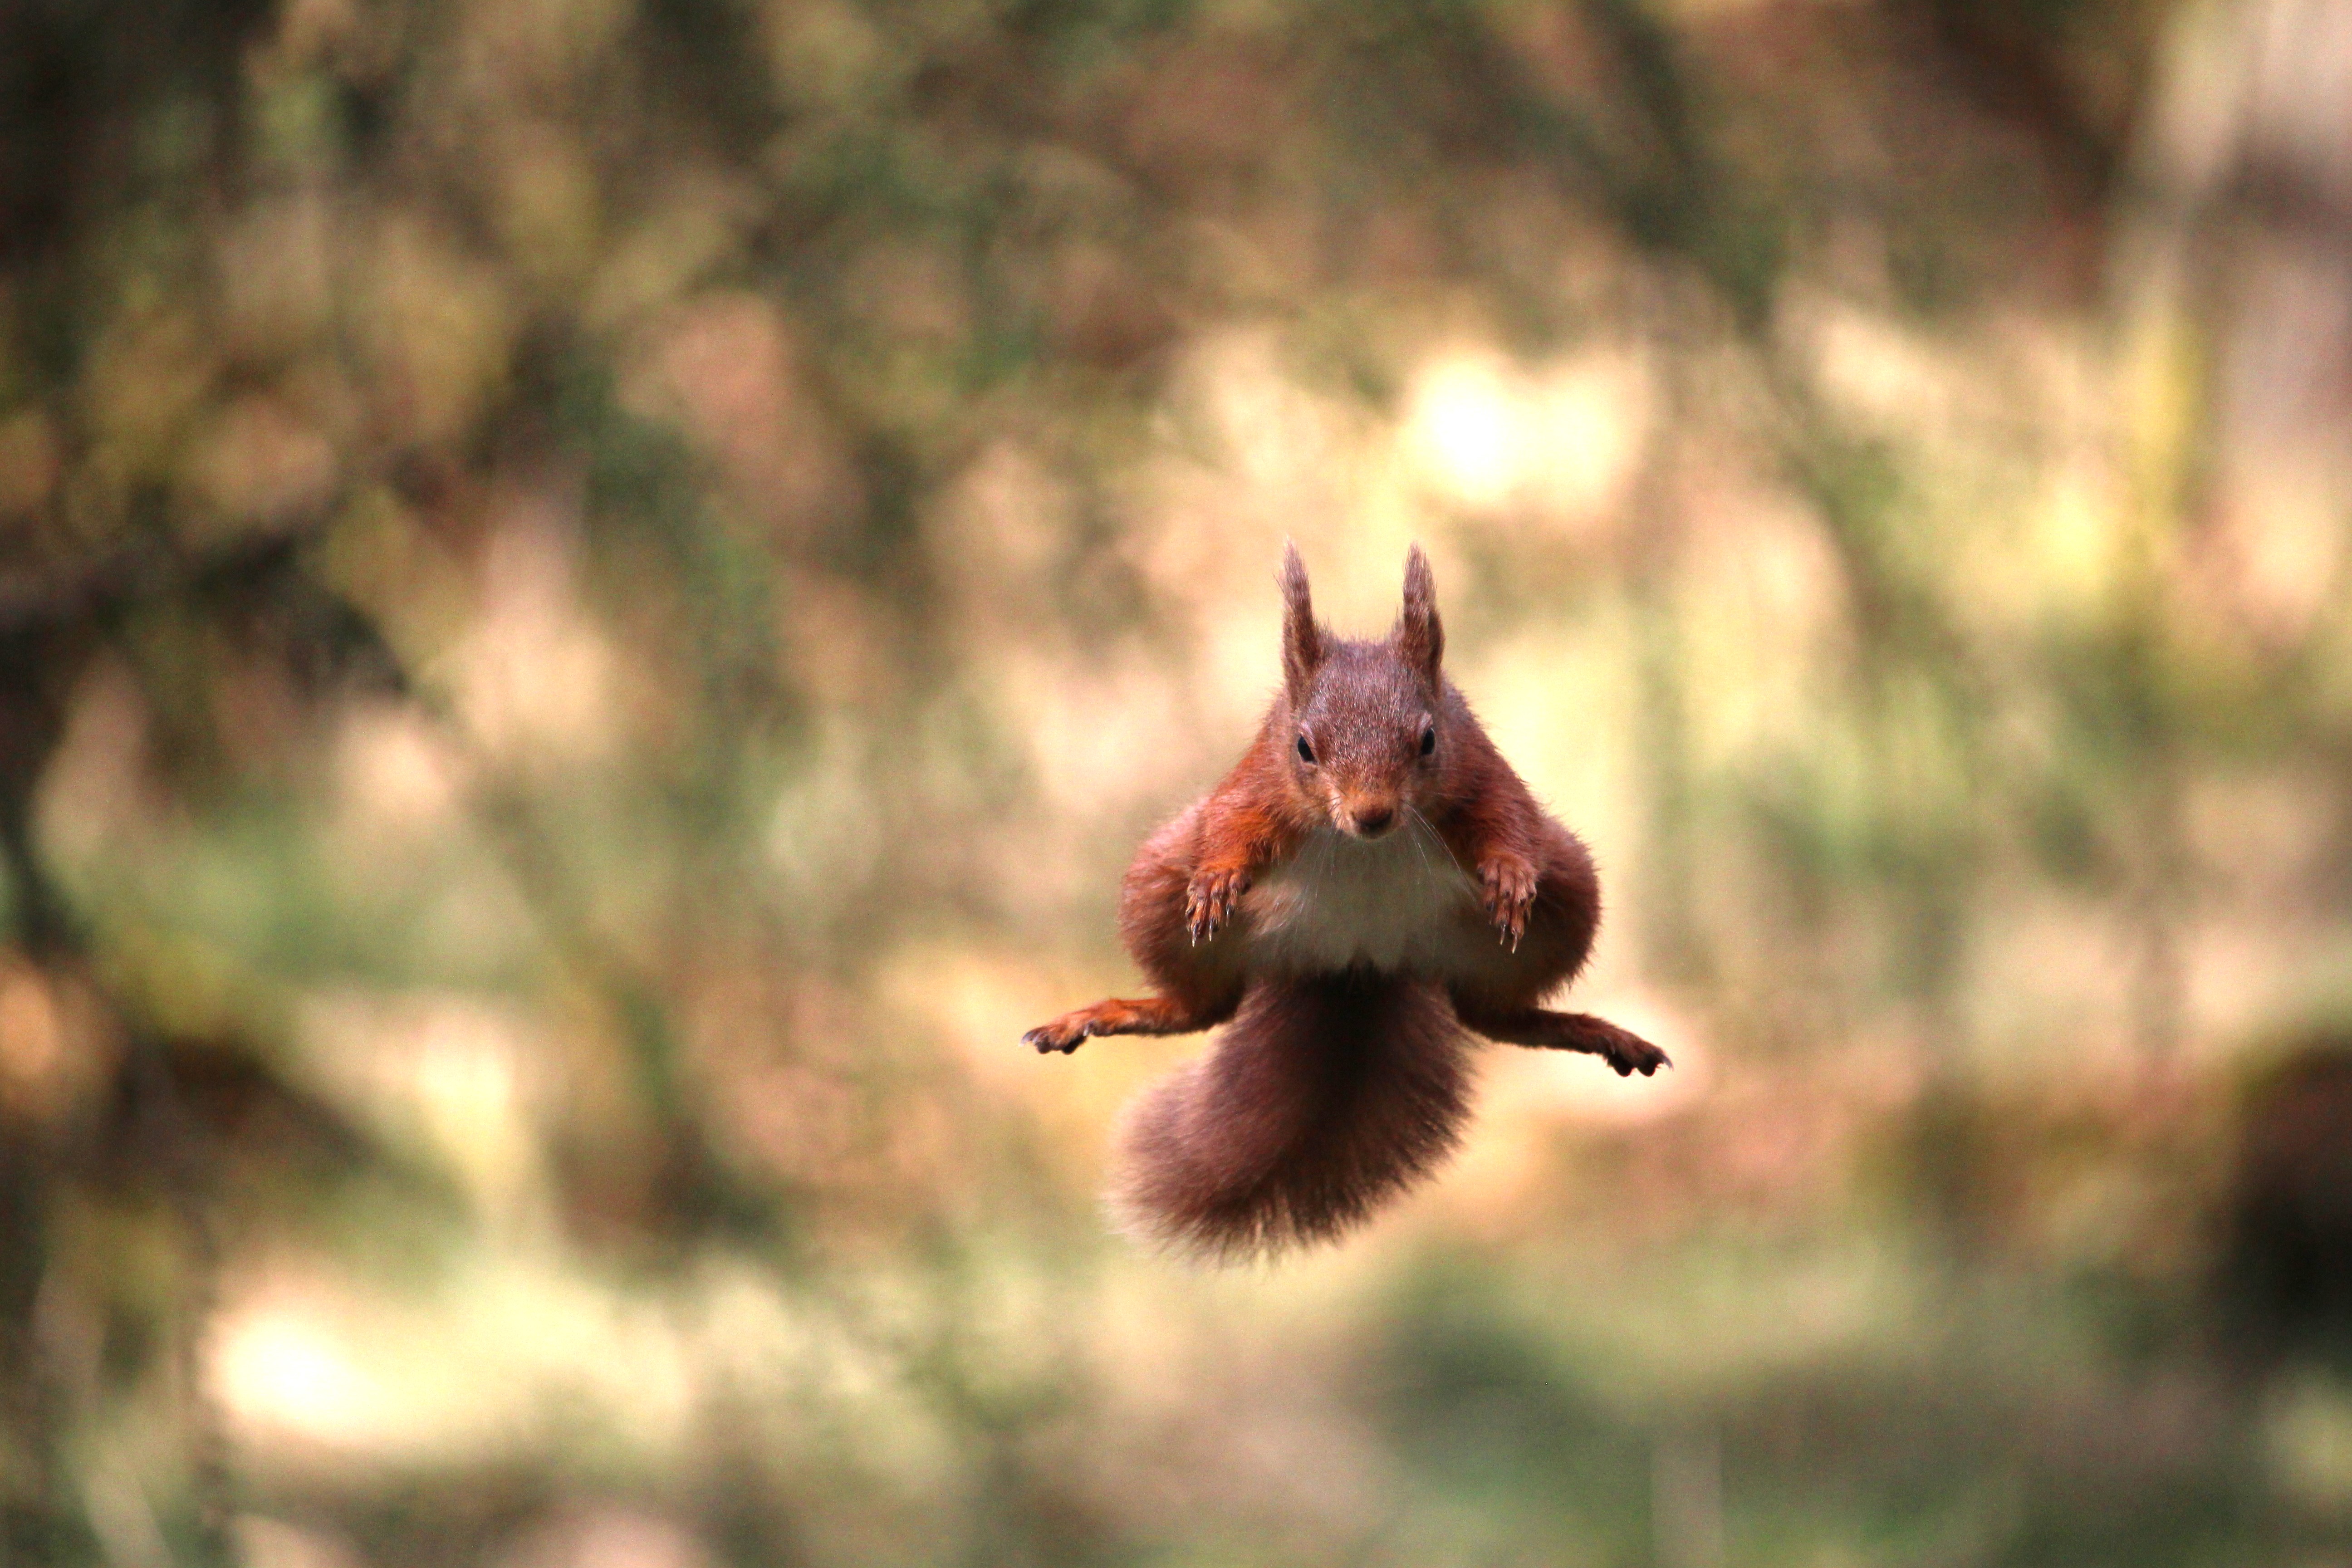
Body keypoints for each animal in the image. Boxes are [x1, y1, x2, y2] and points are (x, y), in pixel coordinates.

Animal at [1023, 543, 1669, 1261]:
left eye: (1427, 739)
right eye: (1305, 746)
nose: (1372, 815)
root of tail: (1357, 962)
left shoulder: (1480, 770)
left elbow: (1511, 824)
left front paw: (1508, 876)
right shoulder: (1259, 780)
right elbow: (1228, 826)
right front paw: (1217, 878)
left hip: (1569, 903)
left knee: (1493, 1017)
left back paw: (1597, 1032)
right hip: (1156, 890)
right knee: (1202, 1009)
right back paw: (1105, 1013)